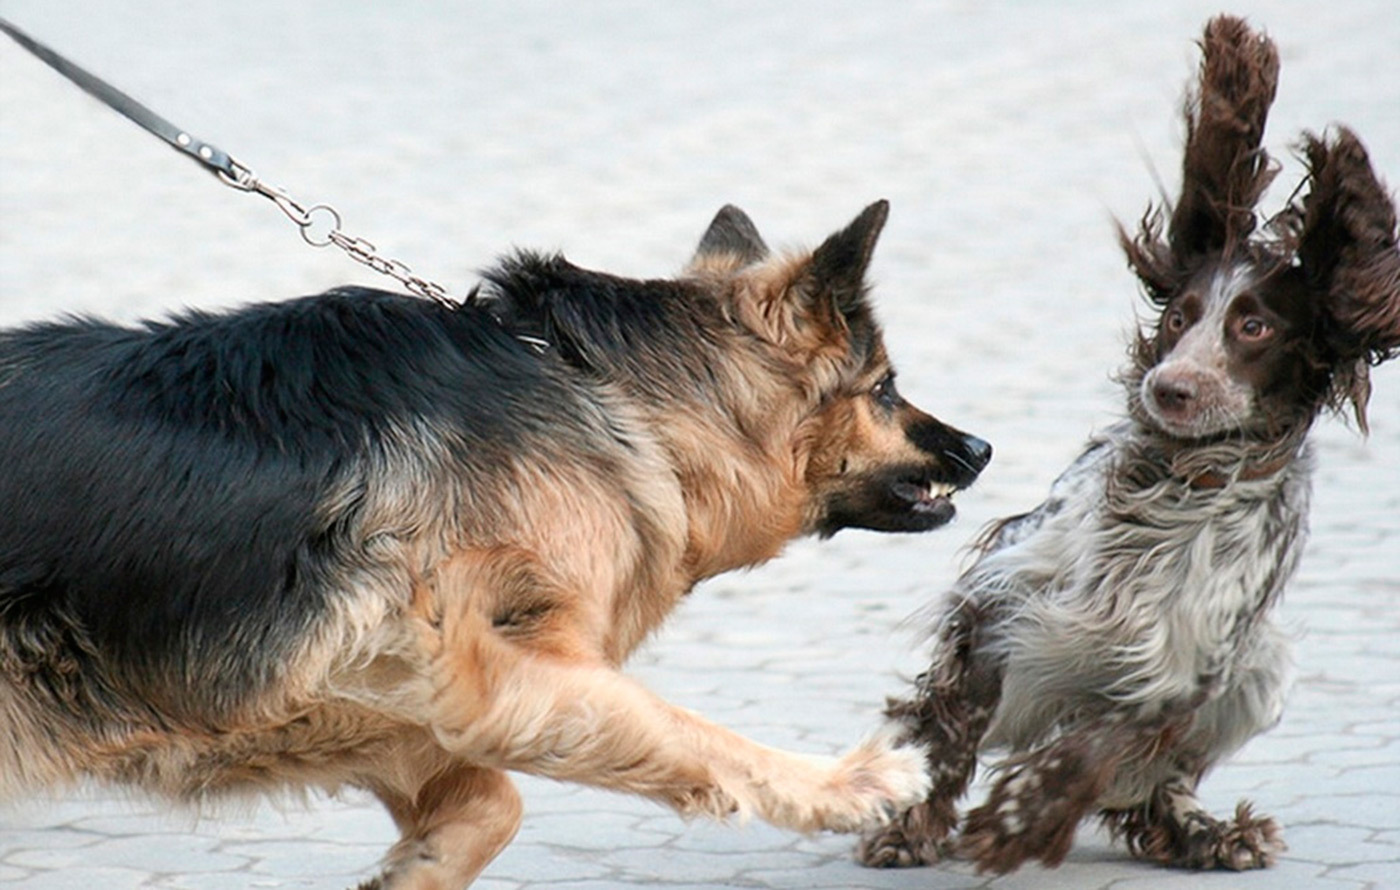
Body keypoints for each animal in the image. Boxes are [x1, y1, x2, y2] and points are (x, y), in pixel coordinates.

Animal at [0, 201, 991, 890]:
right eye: (886, 386)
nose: (982, 449)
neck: (607, 390)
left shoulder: (403, 697)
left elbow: (493, 805)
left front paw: (417, 867)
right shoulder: (489, 673)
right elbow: (699, 740)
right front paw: (850, 784)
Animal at [851, 15, 1400, 878]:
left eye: (1255, 327)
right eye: (1177, 316)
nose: (1170, 387)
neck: (1180, 484)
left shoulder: (1196, 660)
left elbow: (1110, 741)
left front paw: (1022, 813)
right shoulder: (1005, 593)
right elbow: (952, 721)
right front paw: (912, 819)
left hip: (1261, 670)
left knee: (1153, 782)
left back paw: (1204, 831)